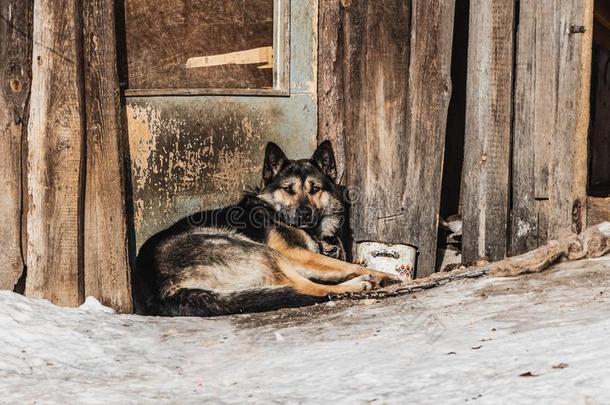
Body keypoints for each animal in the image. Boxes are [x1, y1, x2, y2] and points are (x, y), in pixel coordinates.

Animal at [132, 141, 400, 316]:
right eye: (289, 189)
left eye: (315, 189)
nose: (304, 213)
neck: (275, 211)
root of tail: (158, 289)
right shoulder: (296, 254)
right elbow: (345, 265)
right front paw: (382, 274)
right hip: (261, 251)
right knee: (306, 288)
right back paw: (360, 284)